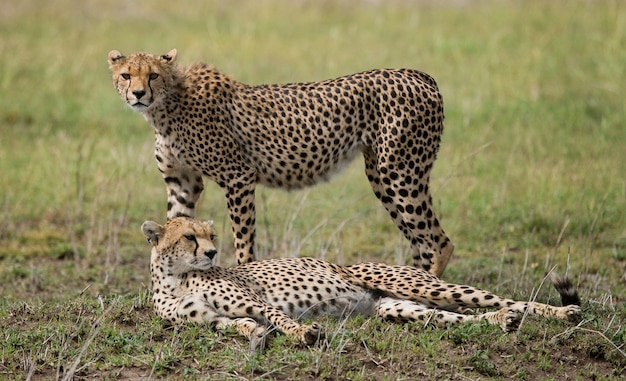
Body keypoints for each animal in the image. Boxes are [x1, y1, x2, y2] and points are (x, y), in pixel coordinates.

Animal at [108, 49, 454, 276]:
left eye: (153, 75)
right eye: (126, 75)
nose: (138, 94)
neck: (166, 107)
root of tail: (417, 74)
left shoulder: (238, 176)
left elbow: (243, 239)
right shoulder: (182, 182)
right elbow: (173, 228)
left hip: (399, 171)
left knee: (438, 242)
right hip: (384, 176)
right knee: (421, 241)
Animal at [141, 215, 580, 346]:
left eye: (211, 235)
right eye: (189, 237)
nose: (213, 253)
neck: (175, 278)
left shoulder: (256, 299)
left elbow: (280, 318)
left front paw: (303, 333)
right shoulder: (212, 319)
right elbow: (239, 325)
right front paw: (256, 334)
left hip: (420, 284)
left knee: (505, 299)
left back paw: (564, 313)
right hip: (398, 308)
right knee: (458, 318)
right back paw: (501, 322)